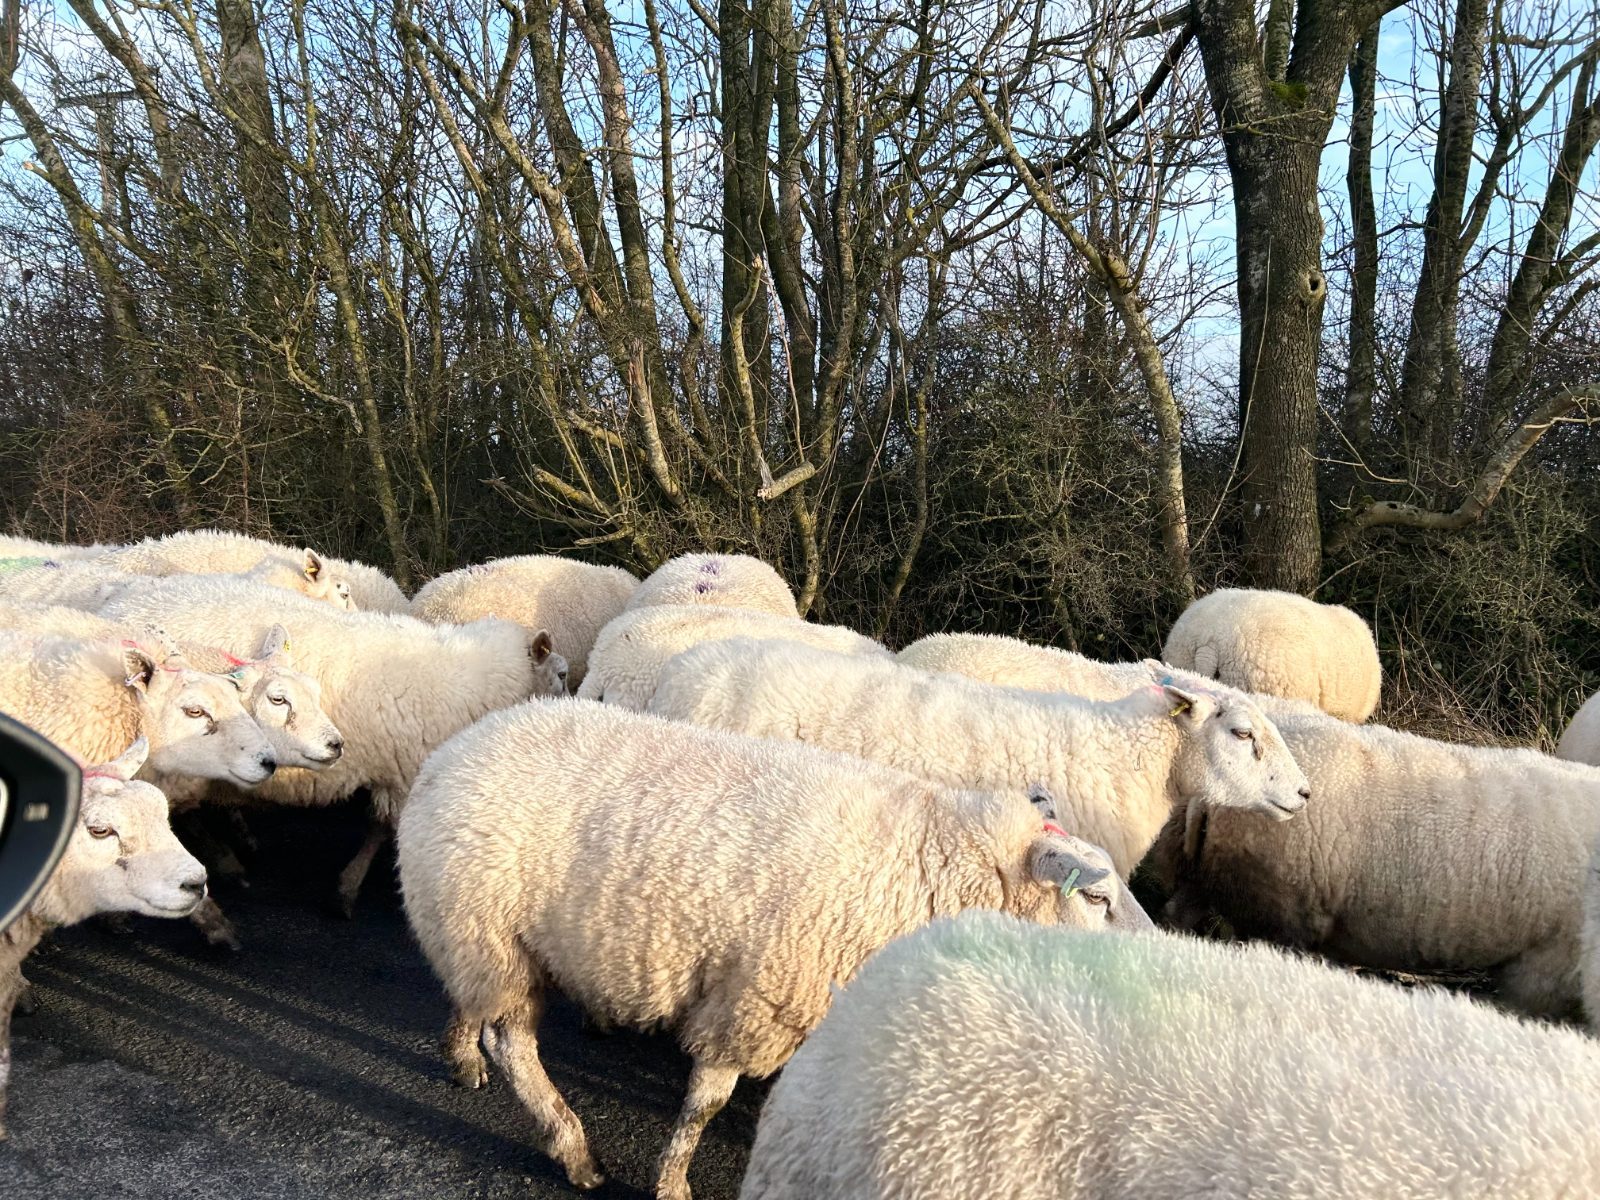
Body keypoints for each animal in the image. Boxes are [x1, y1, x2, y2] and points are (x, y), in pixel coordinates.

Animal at [397, 698, 1150, 1200]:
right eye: (1096, 899)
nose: (1159, 955)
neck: (930, 866)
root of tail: (448, 755)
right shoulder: (755, 1000)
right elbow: (705, 1105)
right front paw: (673, 1183)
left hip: (476, 941)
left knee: (470, 1004)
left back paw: (462, 1057)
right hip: (490, 932)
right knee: (514, 1045)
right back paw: (572, 1147)